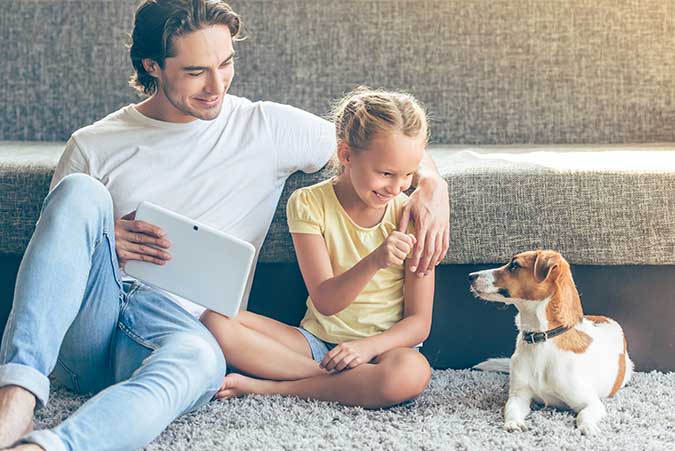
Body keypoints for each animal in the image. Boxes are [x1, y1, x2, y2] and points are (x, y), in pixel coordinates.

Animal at [470, 249, 632, 436]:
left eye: (514, 265)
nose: (470, 276)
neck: (540, 339)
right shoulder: (519, 396)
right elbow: (510, 410)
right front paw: (513, 423)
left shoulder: (591, 403)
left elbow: (583, 415)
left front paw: (588, 427)